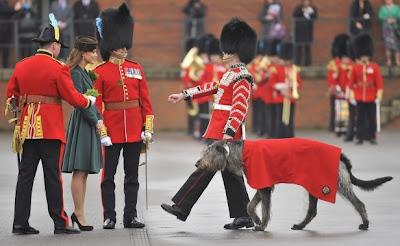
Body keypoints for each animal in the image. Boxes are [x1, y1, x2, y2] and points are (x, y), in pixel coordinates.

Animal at [197, 140, 394, 231]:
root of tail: (341, 155)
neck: (242, 152)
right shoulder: (263, 183)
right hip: (315, 183)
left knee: (358, 202)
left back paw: (365, 224)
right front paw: (258, 221)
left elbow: (264, 208)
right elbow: (250, 205)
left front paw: (262, 225)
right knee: (312, 210)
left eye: (207, 153)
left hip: (335, 181)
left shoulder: (265, 185)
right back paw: (300, 225)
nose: (197, 164)